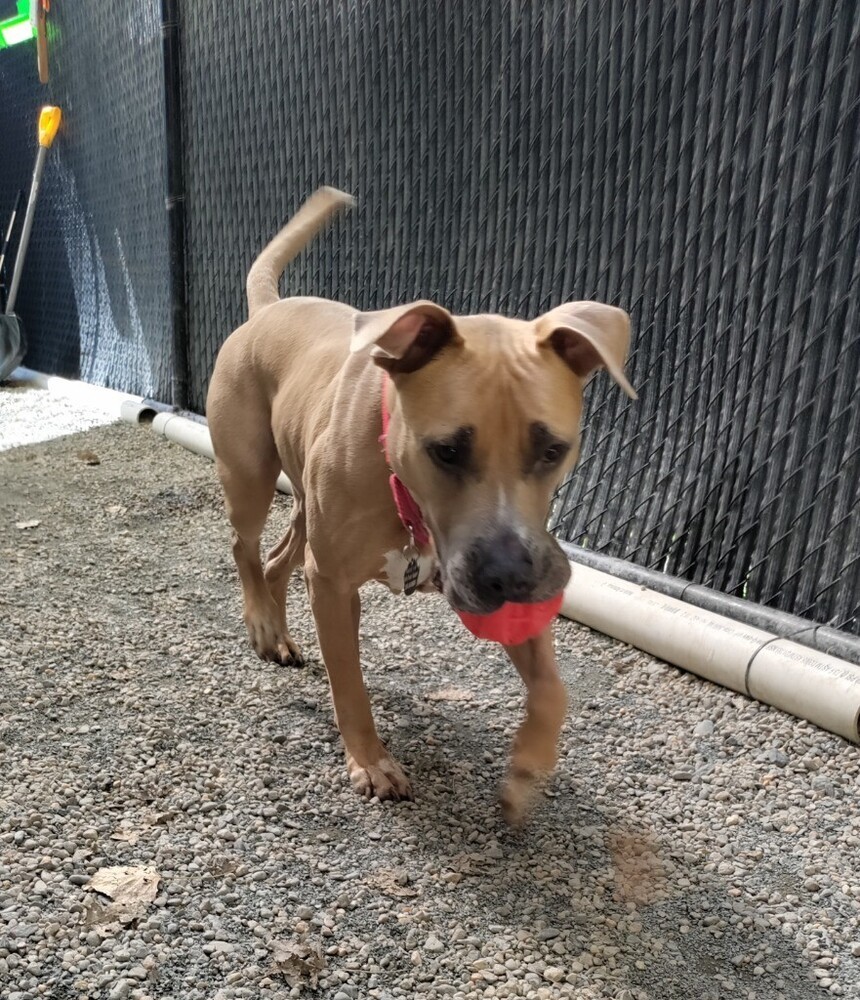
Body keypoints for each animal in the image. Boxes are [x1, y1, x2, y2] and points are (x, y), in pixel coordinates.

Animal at [207, 186, 636, 820]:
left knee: (279, 557)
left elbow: (553, 690)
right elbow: (349, 684)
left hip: (305, 499)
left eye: (553, 449)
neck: (399, 481)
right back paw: (262, 622)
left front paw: (528, 769)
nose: (509, 574)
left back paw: (279, 631)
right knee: (244, 545)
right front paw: (371, 762)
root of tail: (267, 310)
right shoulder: (333, 583)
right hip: (249, 476)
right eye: (447, 450)